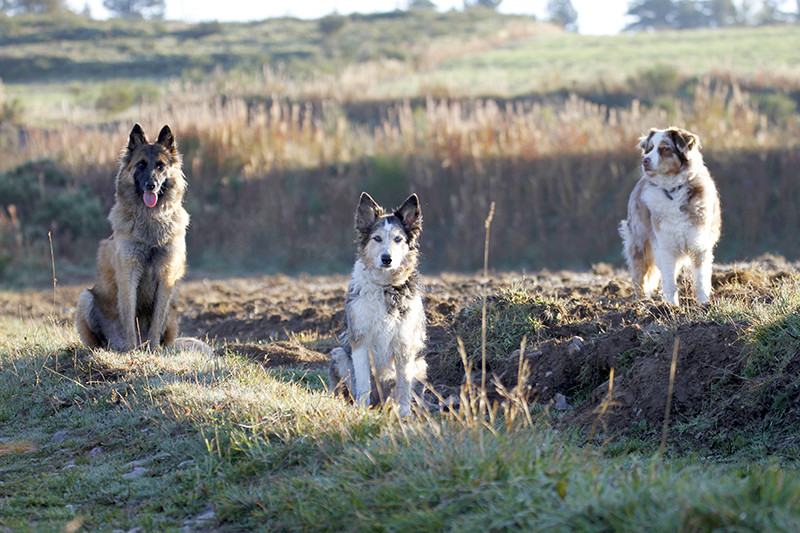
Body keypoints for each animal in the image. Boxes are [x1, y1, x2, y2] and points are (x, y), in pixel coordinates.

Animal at [76, 122, 209, 352]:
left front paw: (153, 348)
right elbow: (129, 317)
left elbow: (156, 320)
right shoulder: (128, 273)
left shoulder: (166, 276)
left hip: (173, 311)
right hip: (85, 298)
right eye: (141, 164)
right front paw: (132, 348)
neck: (151, 220)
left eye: (161, 166)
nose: (150, 185)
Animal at [328, 191, 428, 416]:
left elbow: (403, 383)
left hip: (420, 364)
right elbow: (363, 380)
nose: (386, 259)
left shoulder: (404, 343)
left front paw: (404, 413)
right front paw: (361, 410)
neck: (386, 286)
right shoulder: (359, 340)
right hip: (339, 355)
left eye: (398, 239)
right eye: (377, 238)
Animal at [616, 125, 720, 304]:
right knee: (639, 276)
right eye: (649, 149)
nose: (644, 161)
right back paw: (642, 303)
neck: (673, 190)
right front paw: (671, 306)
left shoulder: (699, 244)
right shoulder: (665, 246)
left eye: (664, 149)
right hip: (640, 243)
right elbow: (669, 283)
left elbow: (701, 280)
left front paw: (704, 304)